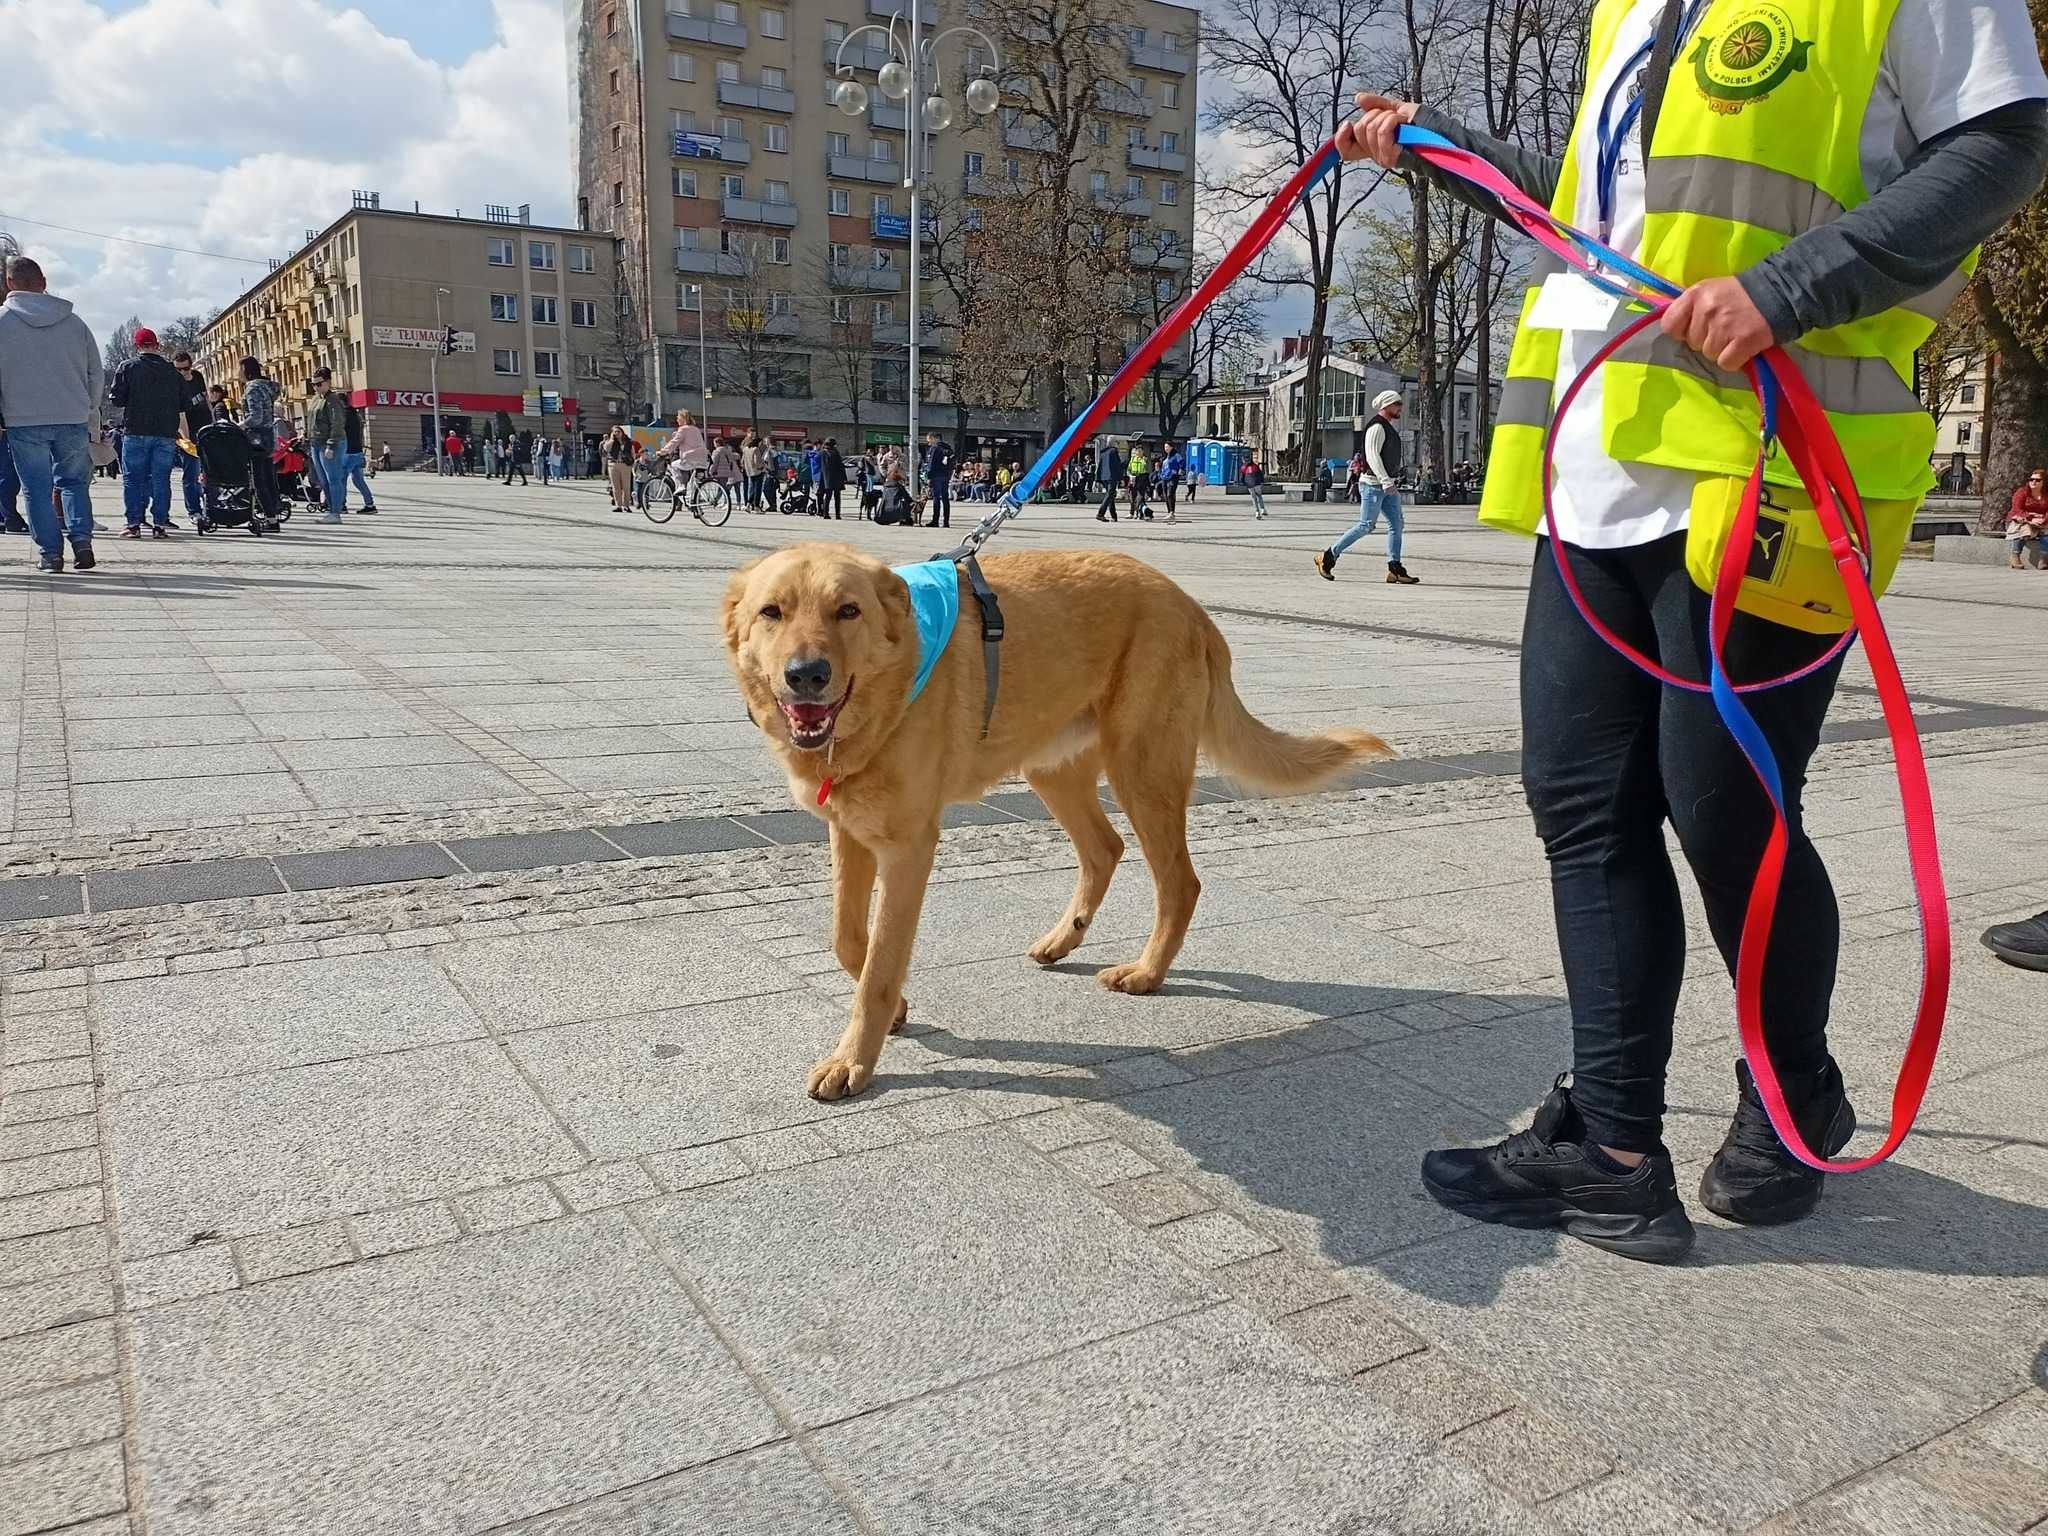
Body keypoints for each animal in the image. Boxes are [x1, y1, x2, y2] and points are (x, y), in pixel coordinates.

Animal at [720, 548, 1392, 1097]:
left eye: (848, 610)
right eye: (772, 612)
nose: (807, 675)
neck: (886, 693)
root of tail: (1192, 606)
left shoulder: (910, 847)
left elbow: (880, 967)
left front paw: (856, 1059)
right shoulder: (851, 831)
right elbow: (847, 941)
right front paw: (898, 1011)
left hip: (1142, 771)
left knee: (1179, 881)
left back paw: (1147, 973)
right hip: (1056, 770)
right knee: (1105, 848)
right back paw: (1064, 939)